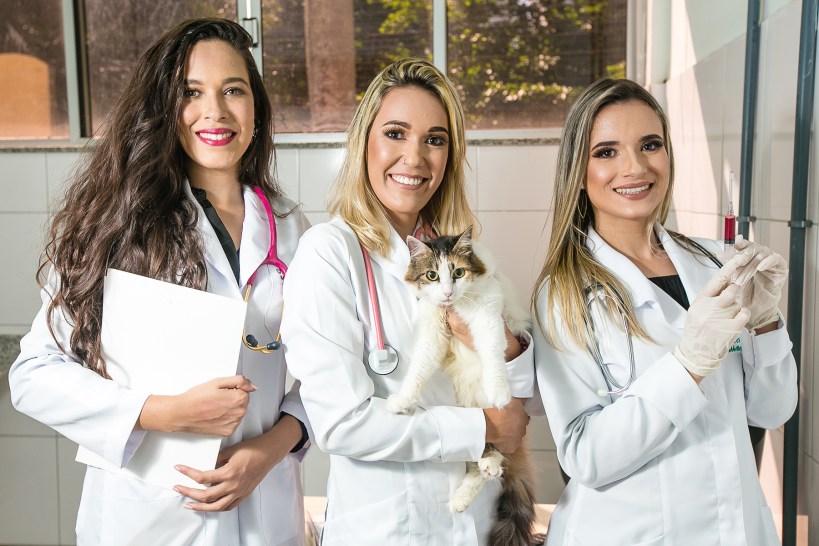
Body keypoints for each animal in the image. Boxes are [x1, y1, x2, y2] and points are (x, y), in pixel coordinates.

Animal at [387, 226, 539, 546]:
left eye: (458, 272)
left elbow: (493, 355)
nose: (447, 292)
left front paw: (499, 390)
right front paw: (403, 400)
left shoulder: (488, 319)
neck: (453, 306)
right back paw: (464, 495)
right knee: (484, 452)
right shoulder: (433, 332)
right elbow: (419, 369)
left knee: (497, 458)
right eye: (432, 275)